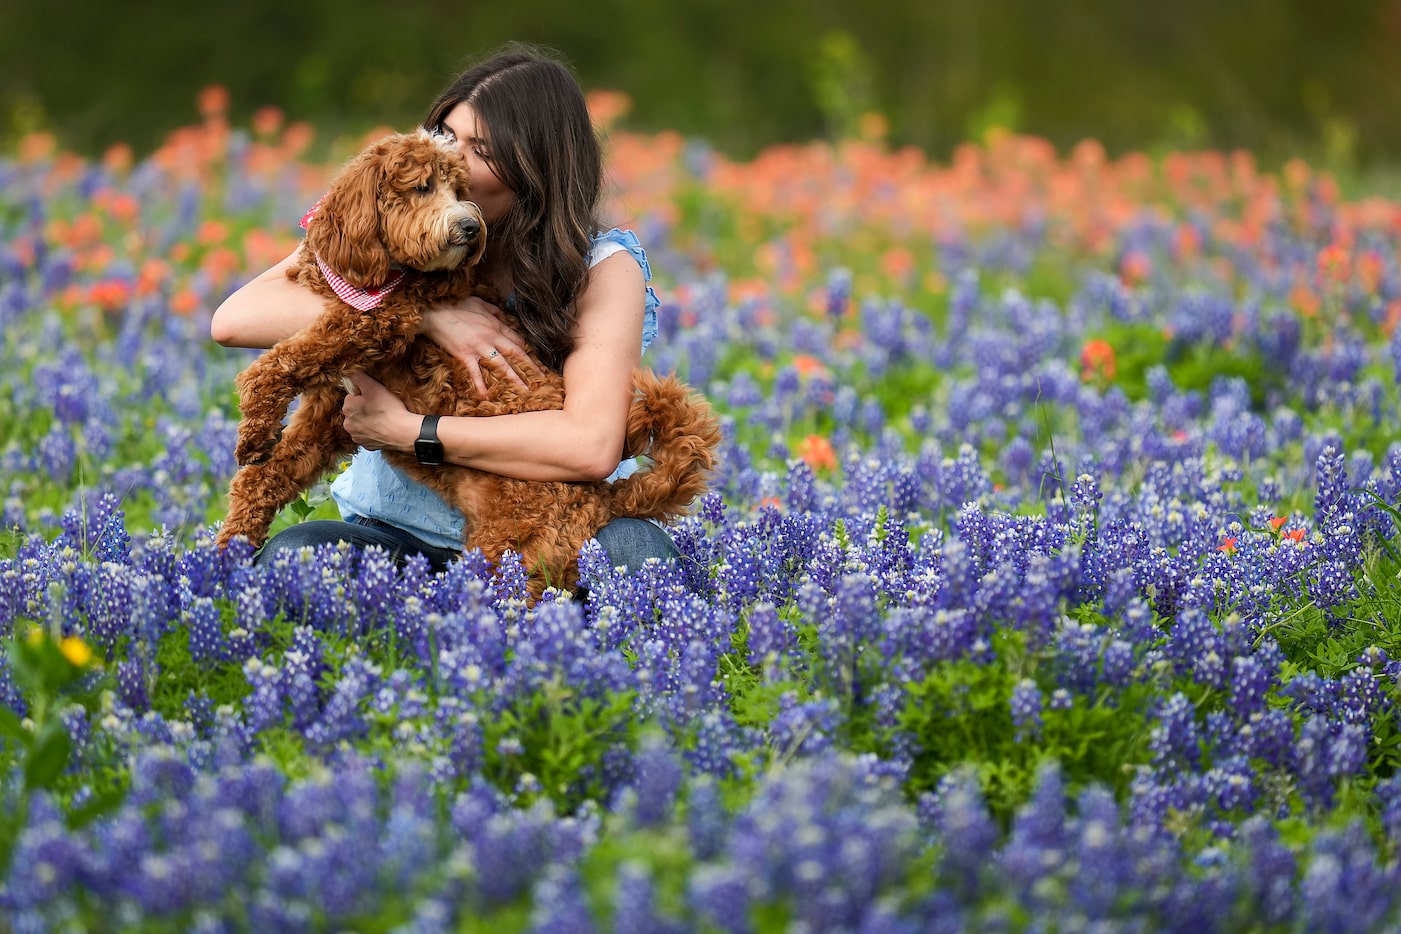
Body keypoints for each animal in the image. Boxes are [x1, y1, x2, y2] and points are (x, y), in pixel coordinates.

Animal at [221, 129, 722, 599]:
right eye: (422, 186)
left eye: (461, 189)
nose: (468, 226)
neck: (379, 271)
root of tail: (605, 499)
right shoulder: (331, 410)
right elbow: (269, 474)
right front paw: (230, 544)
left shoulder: (377, 320)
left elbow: (285, 359)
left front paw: (254, 415)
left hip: (513, 549)